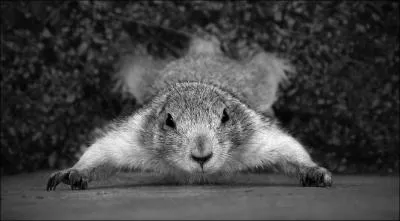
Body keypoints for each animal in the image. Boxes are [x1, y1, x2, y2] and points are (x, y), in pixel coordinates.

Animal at [46, 35, 332, 190]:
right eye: (168, 120)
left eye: (226, 116)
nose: (202, 156)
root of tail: (203, 52)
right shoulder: (135, 134)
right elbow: (102, 152)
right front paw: (74, 172)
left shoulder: (254, 134)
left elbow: (288, 148)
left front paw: (313, 171)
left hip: (258, 80)